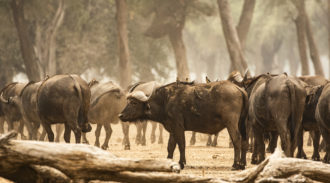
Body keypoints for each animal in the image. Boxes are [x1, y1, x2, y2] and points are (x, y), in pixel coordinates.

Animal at [118, 80, 248, 170]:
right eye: (128, 101)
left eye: (134, 103)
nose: (120, 115)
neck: (165, 101)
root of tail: (238, 89)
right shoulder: (172, 129)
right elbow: (170, 146)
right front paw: (168, 162)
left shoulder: (178, 127)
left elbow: (181, 145)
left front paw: (181, 163)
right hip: (242, 124)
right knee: (244, 141)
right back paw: (242, 164)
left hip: (231, 123)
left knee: (236, 140)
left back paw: (235, 164)